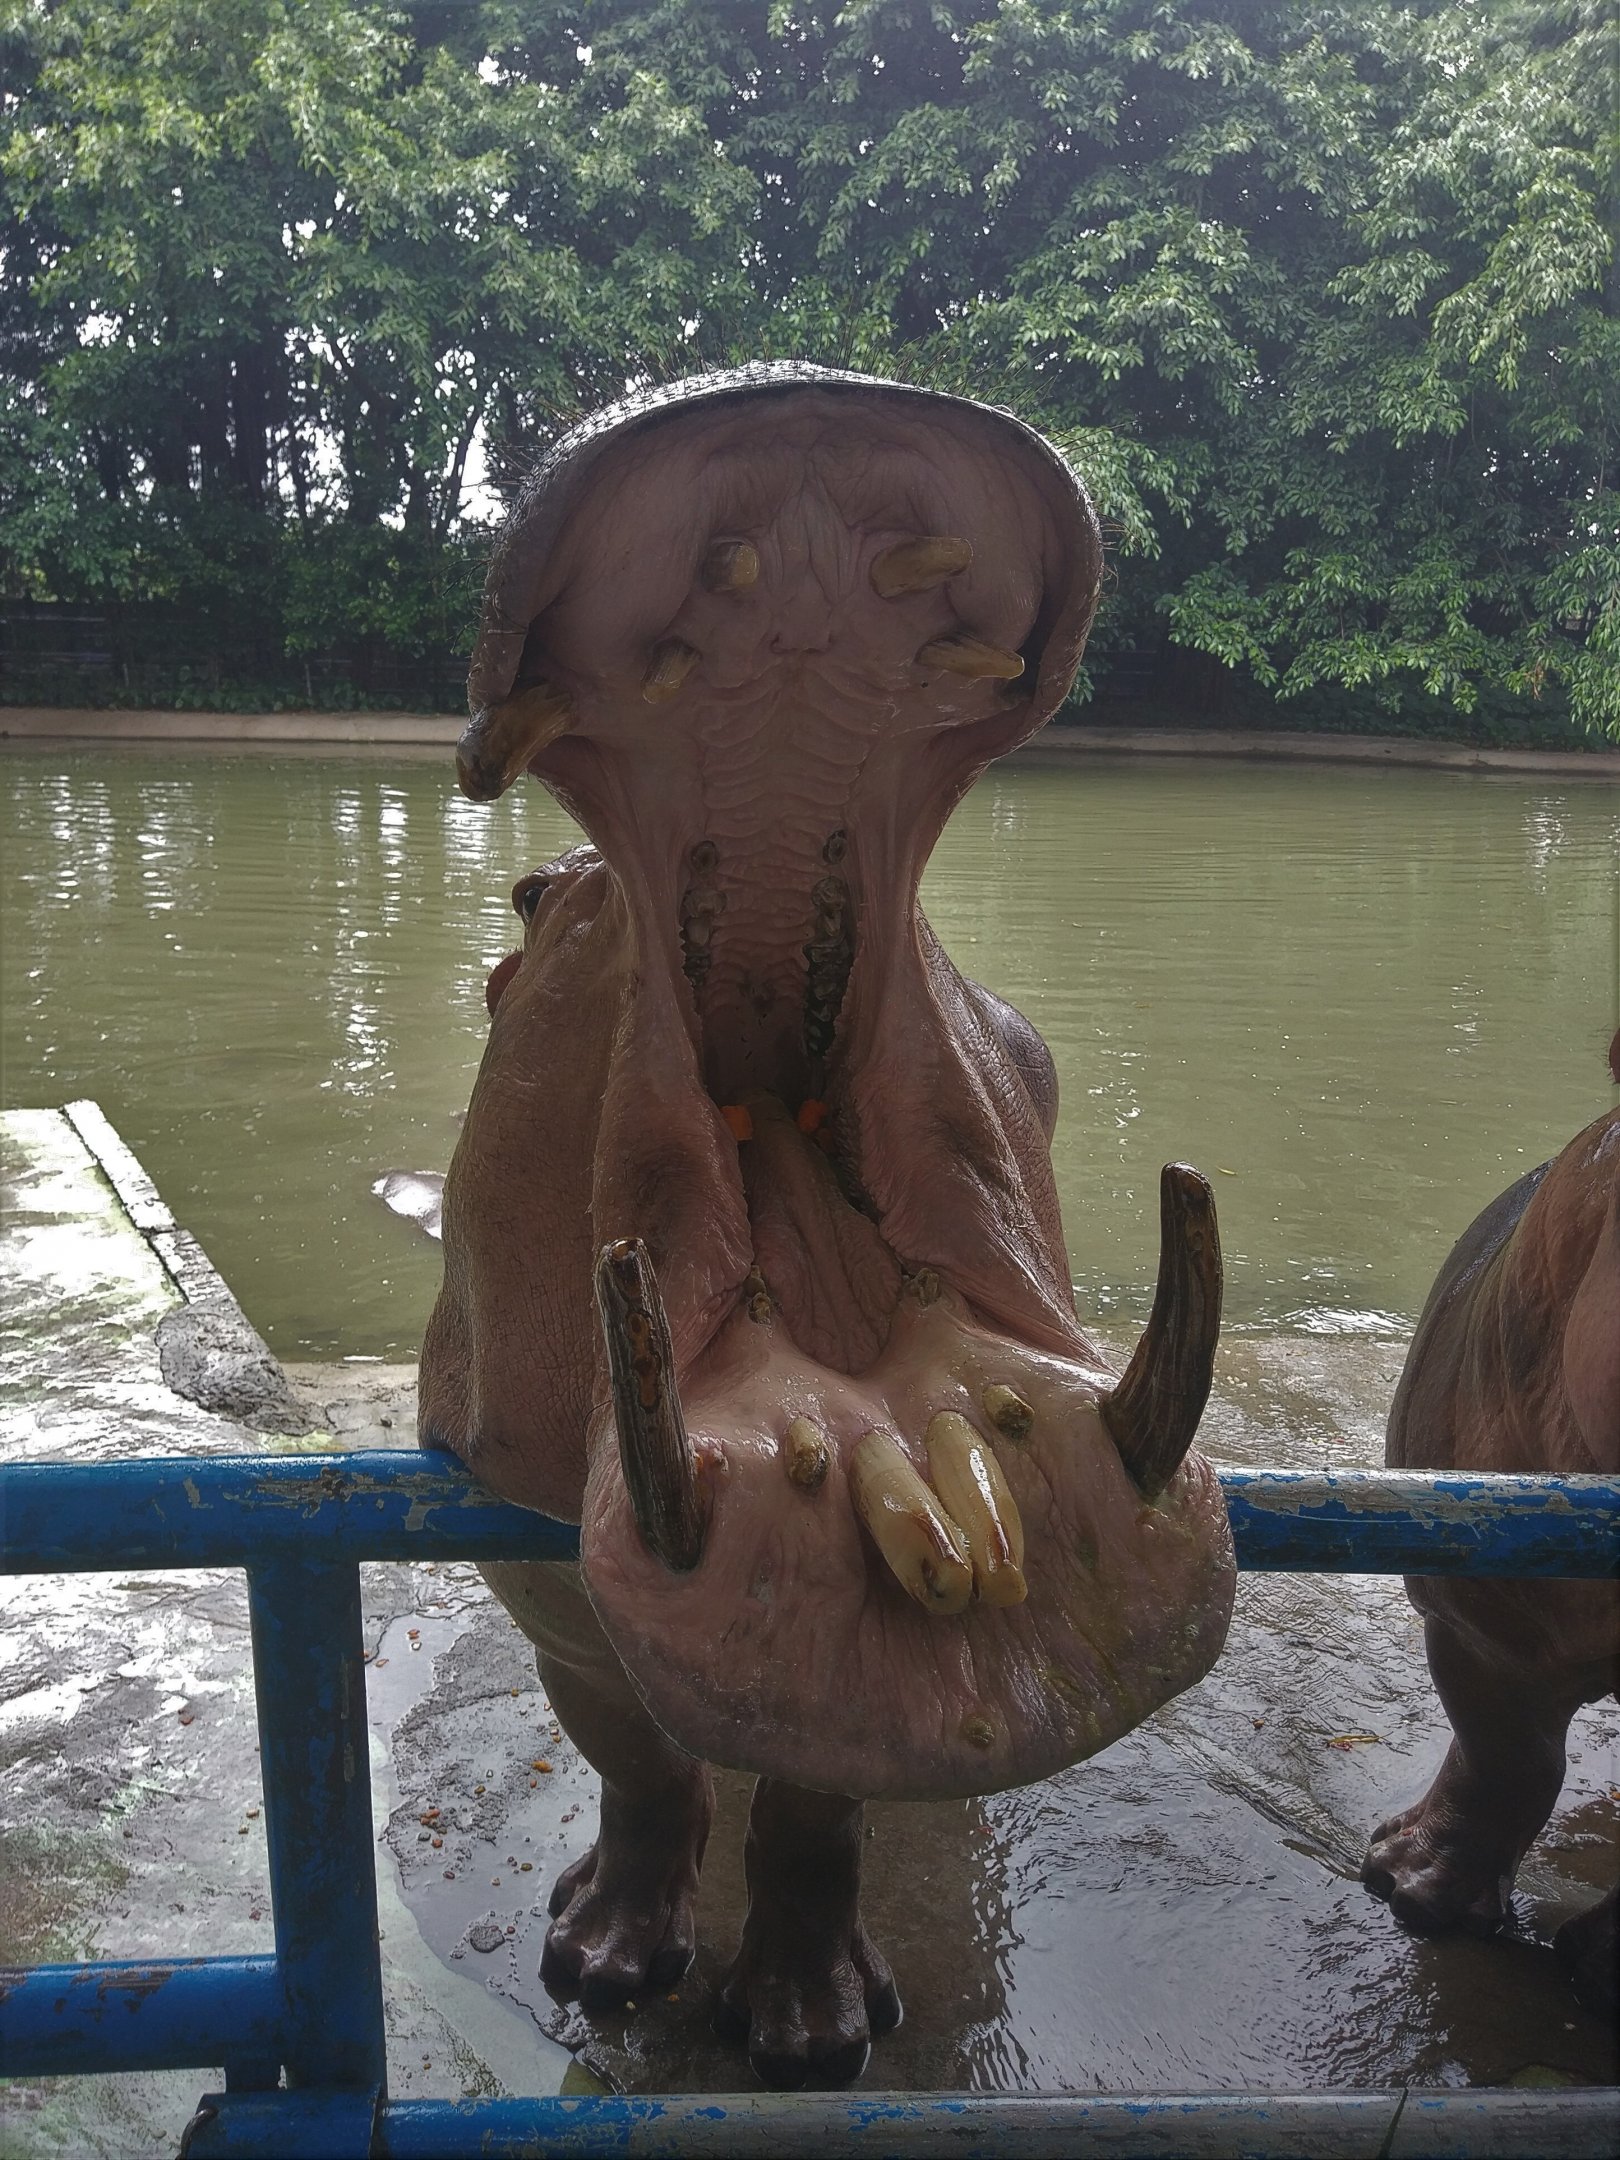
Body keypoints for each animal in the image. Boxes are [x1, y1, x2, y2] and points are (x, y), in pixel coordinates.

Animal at [418, 365, 1237, 2085]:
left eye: (1037, 1056)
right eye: (531, 902)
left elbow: (816, 1803)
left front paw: (809, 2032)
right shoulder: (529, 1568)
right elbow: (633, 1754)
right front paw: (604, 1962)